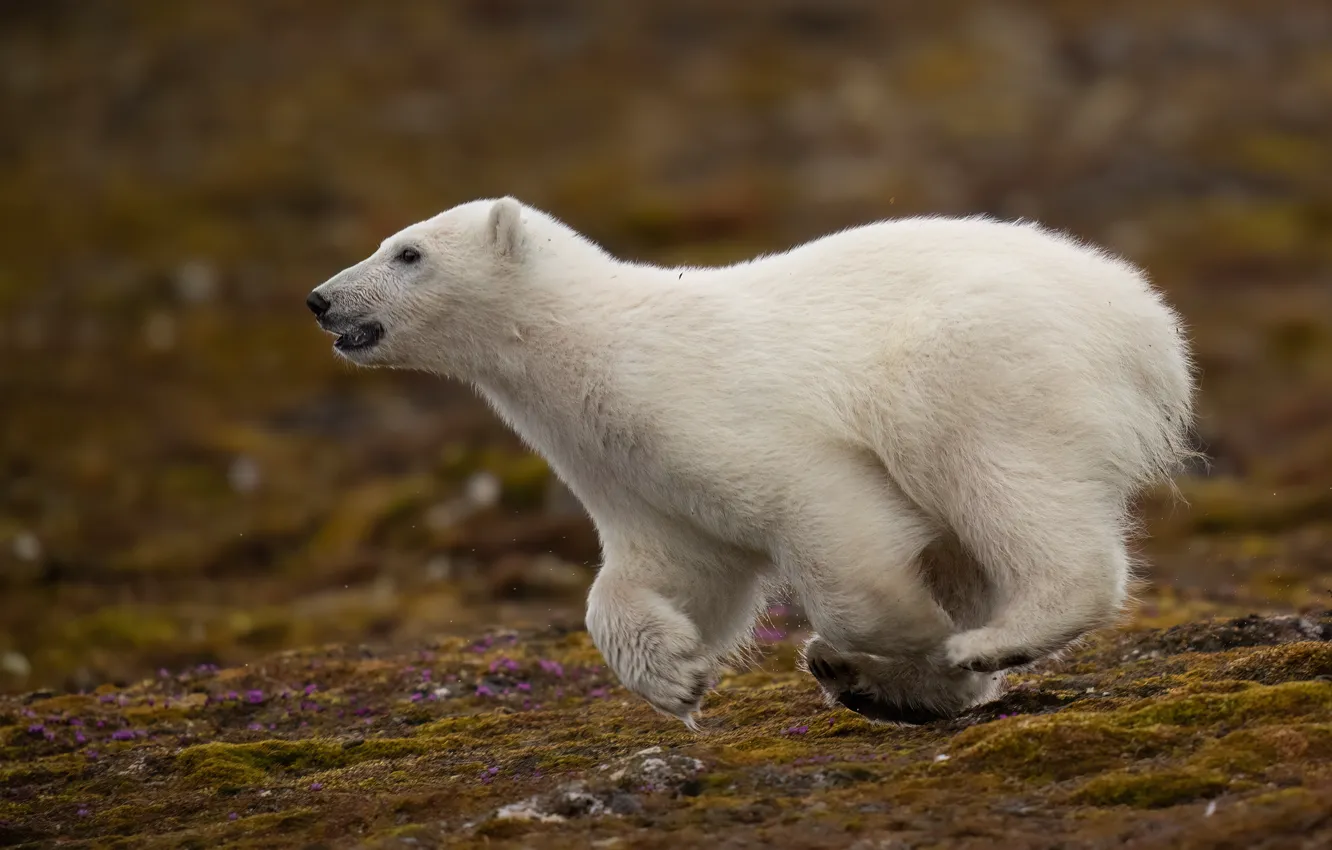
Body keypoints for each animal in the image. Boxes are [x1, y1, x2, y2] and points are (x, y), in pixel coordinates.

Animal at [306, 197, 1196, 728]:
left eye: (408, 253)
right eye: (386, 243)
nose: (320, 298)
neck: (601, 346)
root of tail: (1145, 321)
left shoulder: (719, 413)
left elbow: (830, 522)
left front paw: (907, 640)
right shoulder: (631, 469)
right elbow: (664, 572)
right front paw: (675, 677)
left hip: (981, 369)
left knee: (1006, 489)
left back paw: (987, 642)